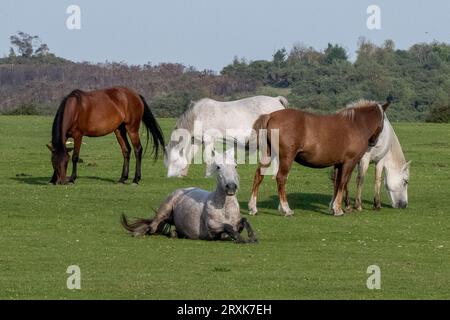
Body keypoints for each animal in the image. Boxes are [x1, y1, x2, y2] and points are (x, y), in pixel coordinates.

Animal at [121, 149, 258, 244]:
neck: (224, 208)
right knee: (152, 227)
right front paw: (242, 239)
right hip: (164, 210)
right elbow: (227, 226)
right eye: (218, 167)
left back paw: (174, 233)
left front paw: (252, 237)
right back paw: (139, 232)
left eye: (235, 166)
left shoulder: (236, 224)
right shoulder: (212, 228)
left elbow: (244, 220)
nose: (231, 187)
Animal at [248, 97, 392, 218]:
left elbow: (337, 183)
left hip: (268, 154)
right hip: (286, 157)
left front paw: (334, 207)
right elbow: (343, 182)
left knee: (258, 176)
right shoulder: (349, 162)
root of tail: (271, 116)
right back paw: (286, 209)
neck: (356, 124)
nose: (373, 142)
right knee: (281, 178)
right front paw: (338, 209)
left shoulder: (338, 164)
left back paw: (253, 208)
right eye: (383, 121)